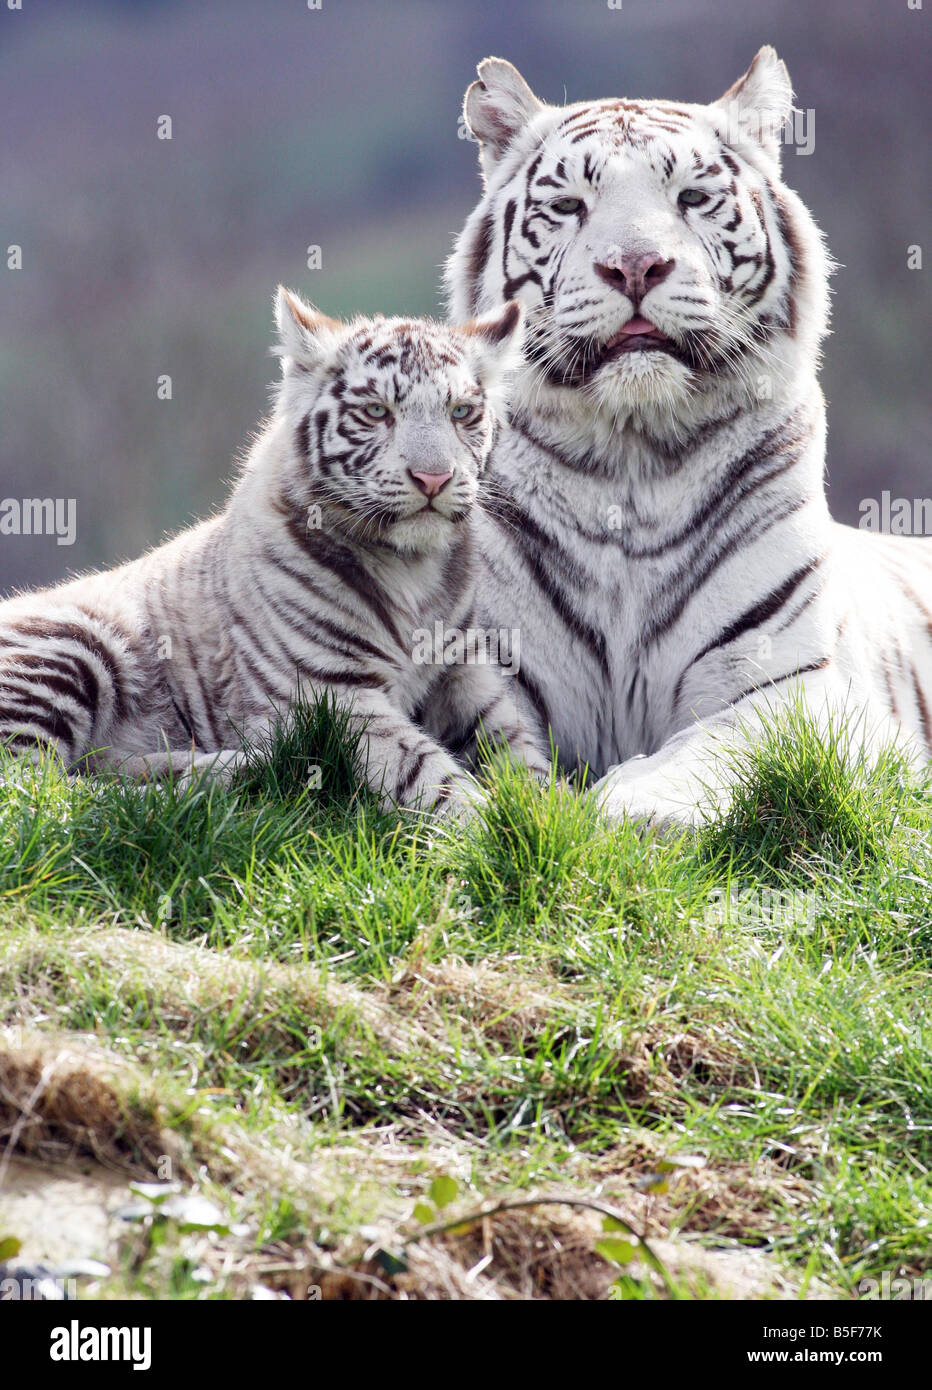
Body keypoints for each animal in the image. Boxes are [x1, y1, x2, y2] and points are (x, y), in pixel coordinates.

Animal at [0, 293, 550, 811]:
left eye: (461, 412)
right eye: (376, 411)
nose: (434, 478)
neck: (413, 567)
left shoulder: (465, 673)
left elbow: (517, 750)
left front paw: (549, 811)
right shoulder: (331, 690)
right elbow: (425, 768)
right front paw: (484, 823)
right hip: (72, 644)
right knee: (40, 788)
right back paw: (246, 772)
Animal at [447, 46, 932, 822]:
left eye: (692, 198)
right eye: (570, 206)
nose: (635, 266)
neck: (631, 461)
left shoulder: (791, 681)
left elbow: (718, 748)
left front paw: (623, 805)